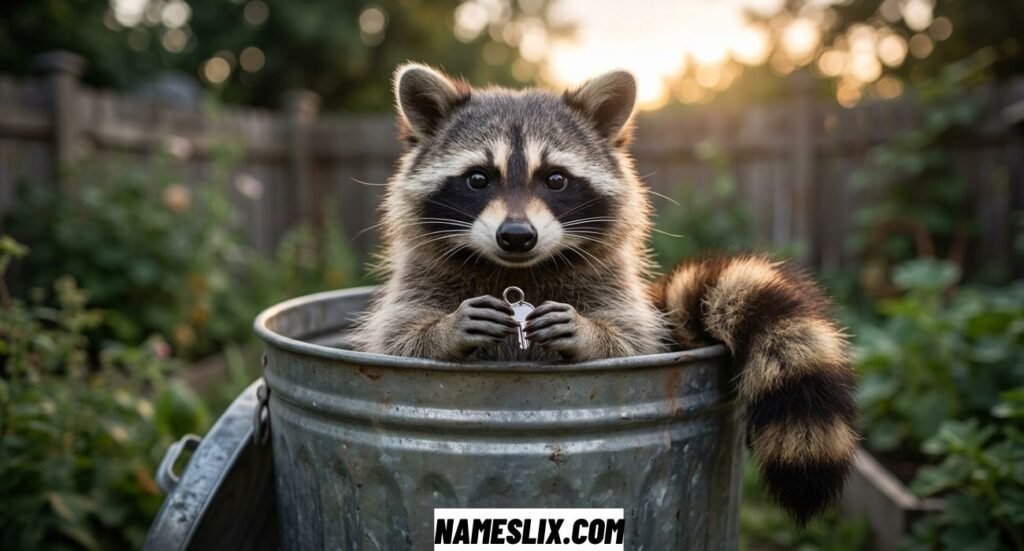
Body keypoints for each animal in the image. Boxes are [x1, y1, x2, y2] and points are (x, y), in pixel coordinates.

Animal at [349, 63, 858, 524]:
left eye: (555, 179)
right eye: (478, 178)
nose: (516, 236)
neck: (518, 270)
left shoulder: (614, 285)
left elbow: (633, 340)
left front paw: (589, 333)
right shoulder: (418, 281)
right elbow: (394, 339)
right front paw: (447, 328)